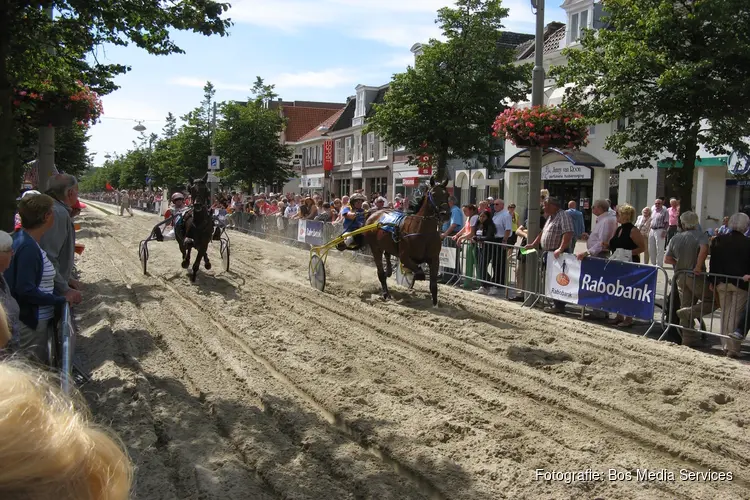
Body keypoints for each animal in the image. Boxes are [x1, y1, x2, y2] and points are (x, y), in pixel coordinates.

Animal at [366, 178, 450, 306]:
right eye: (434, 194)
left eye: (448, 195)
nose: (446, 214)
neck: (422, 231)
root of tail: (374, 214)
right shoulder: (405, 256)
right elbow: (418, 271)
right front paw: (411, 275)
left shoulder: (435, 259)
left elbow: (433, 285)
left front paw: (435, 304)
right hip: (375, 248)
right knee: (380, 272)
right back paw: (386, 293)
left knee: (387, 255)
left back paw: (388, 271)